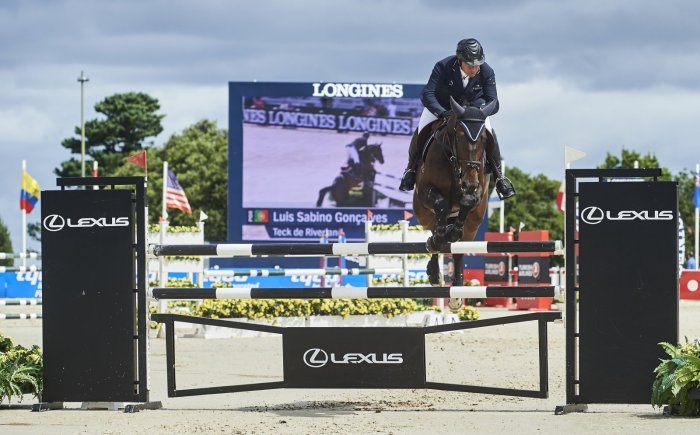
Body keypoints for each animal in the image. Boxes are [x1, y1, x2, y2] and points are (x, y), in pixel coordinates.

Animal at [413, 97, 497, 287]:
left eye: (483, 139)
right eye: (459, 137)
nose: (469, 182)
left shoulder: (478, 191)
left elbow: (468, 201)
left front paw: (453, 231)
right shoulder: (425, 191)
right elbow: (441, 204)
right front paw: (441, 237)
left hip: (474, 223)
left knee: (460, 248)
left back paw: (457, 284)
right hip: (423, 214)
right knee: (433, 230)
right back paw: (434, 268)